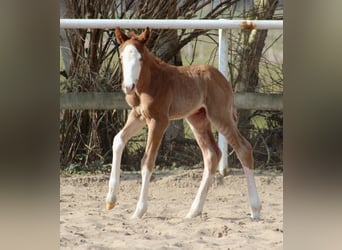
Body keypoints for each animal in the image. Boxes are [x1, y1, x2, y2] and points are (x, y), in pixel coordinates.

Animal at [105, 26, 260, 220]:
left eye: (140, 58)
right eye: (121, 57)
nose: (128, 87)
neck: (149, 82)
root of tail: (223, 79)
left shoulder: (159, 121)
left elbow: (147, 161)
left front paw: (139, 211)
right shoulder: (138, 115)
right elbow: (117, 140)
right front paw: (111, 199)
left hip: (220, 116)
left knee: (243, 148)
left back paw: (255, 210)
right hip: (197, 119)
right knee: (212, 155)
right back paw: (194, 211)